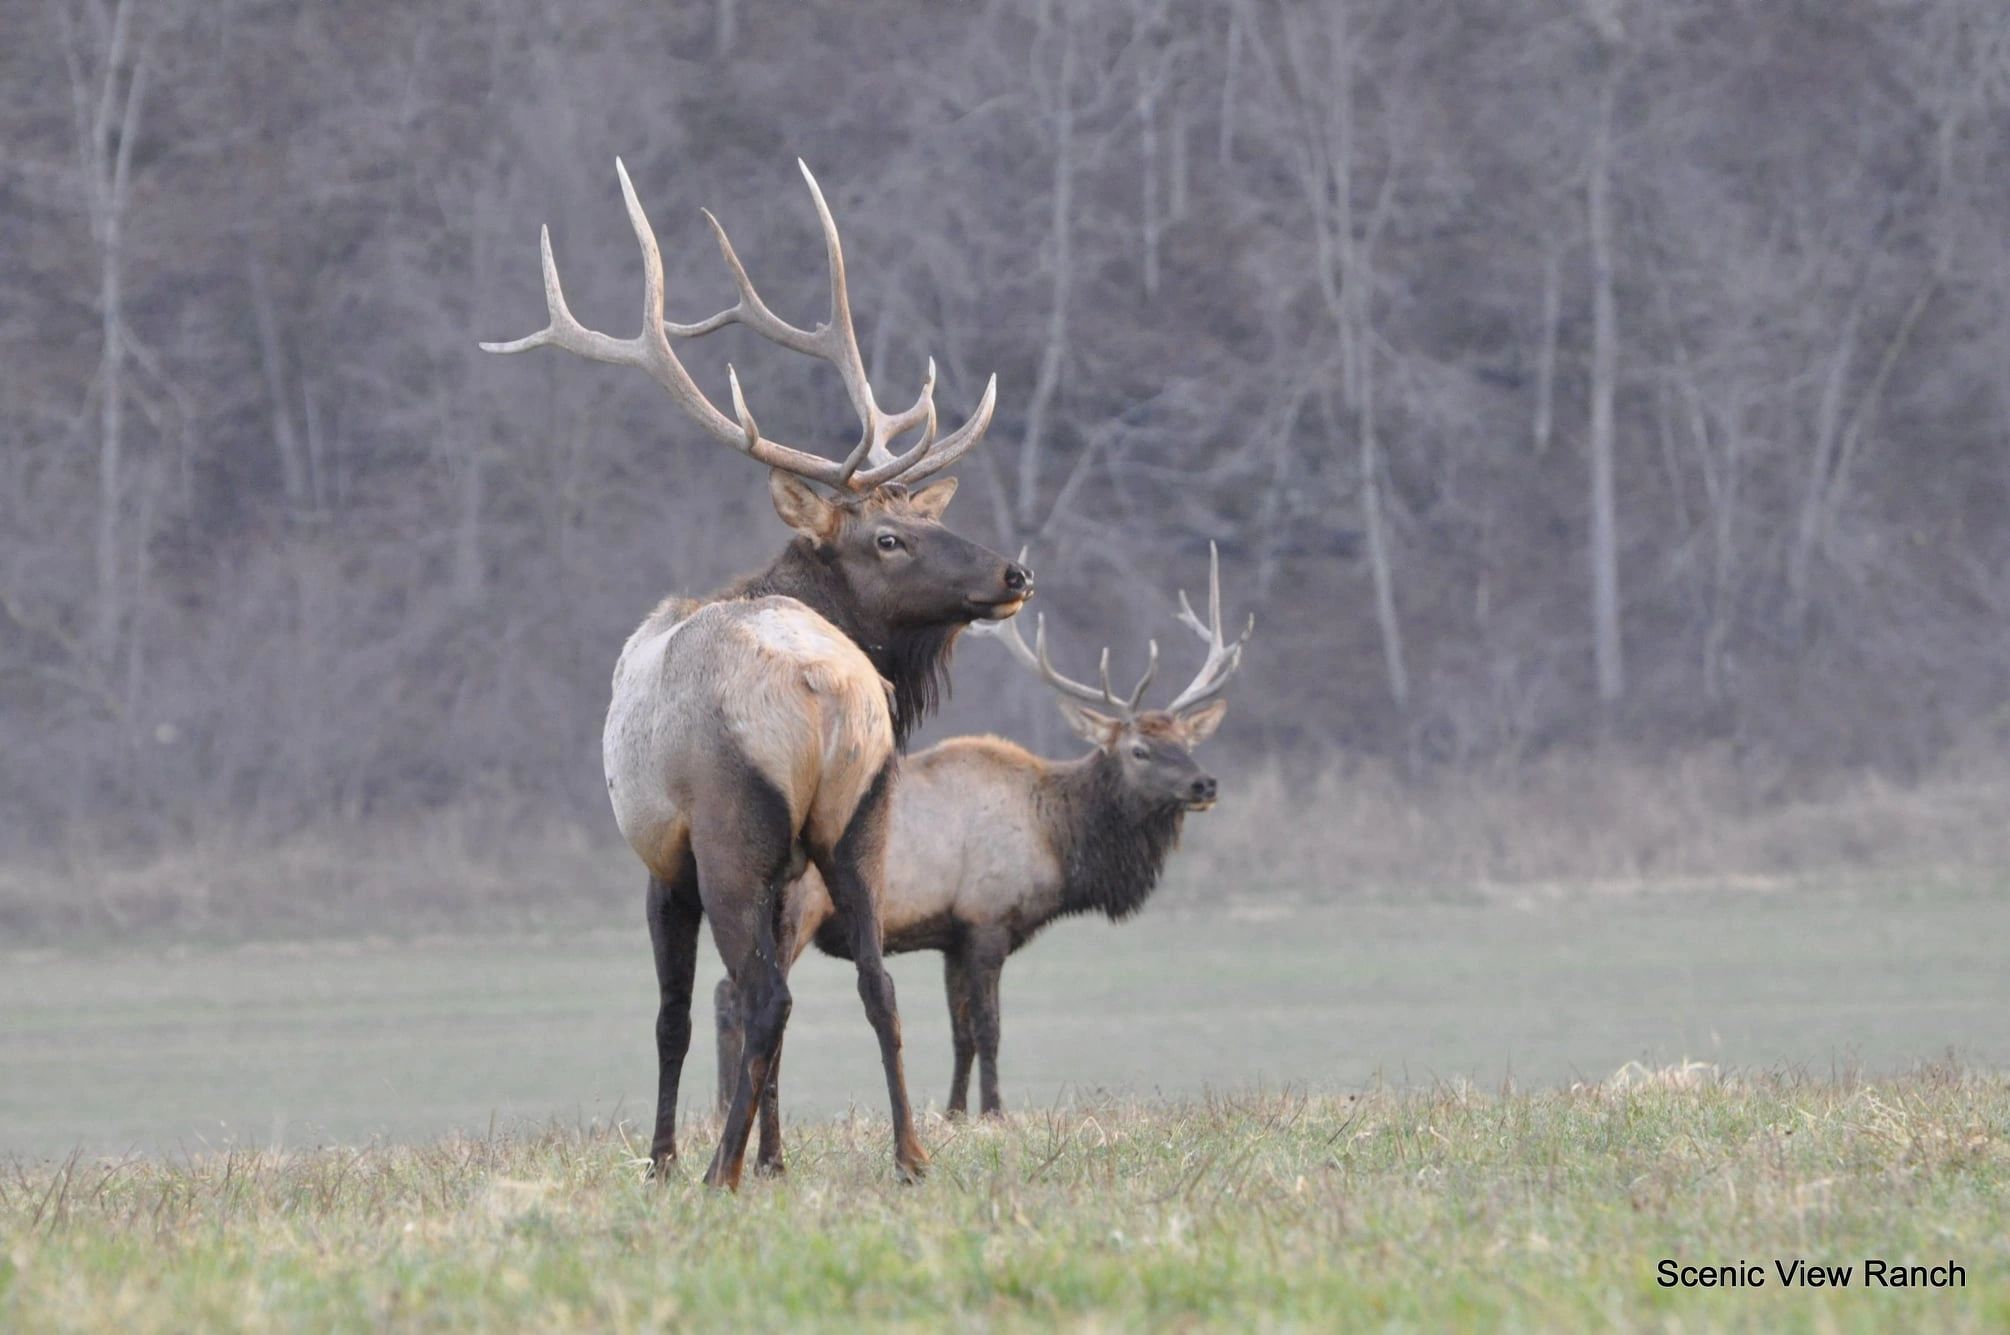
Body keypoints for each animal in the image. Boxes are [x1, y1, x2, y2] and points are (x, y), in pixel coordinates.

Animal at [480, 160, 1032, 1190]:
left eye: (919, 520)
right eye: (890, 534)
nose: (1014, 574)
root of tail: (830, 693)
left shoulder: (665, 858)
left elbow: (680, 1014)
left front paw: (666, 1158)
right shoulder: (794, 867)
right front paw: (776, 1155)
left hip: (735, 831)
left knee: (761, 995)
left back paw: (715, 1171)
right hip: (861, 820)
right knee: (875, 982)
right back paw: (908, 1154)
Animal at [715, 546, 1251, 1167]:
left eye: (1186, 743)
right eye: (1140, 749)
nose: (1205, 784)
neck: (1057, 838)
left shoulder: (953, 936)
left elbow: (962, 1032)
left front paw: (953, 1113)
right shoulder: (989, 920)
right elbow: (991, 1028)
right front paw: (994, 1111)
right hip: (796, 910)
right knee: (735, 994)